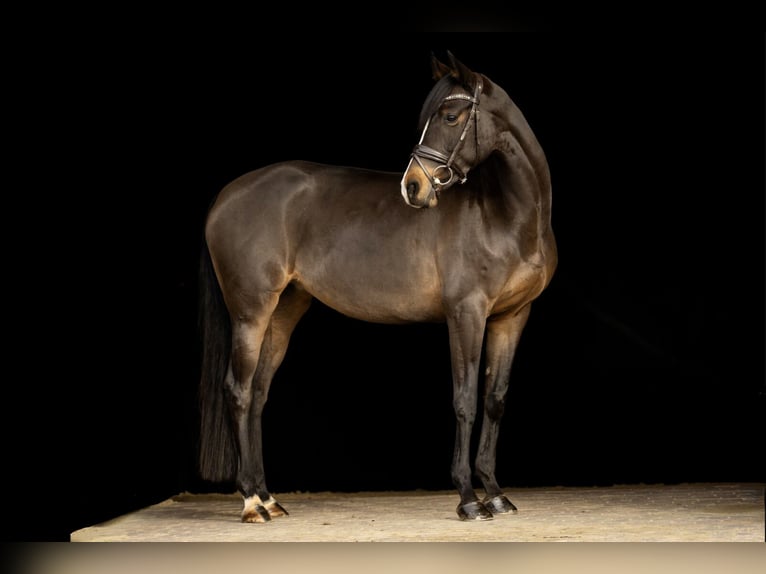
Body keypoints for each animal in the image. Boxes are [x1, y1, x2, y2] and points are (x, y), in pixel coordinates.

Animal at [197, 51, 557, 522]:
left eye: (450, 115)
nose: (413, 186)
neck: (506, 216)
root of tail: (225, 196)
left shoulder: (512, 316)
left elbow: (494, 399)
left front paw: (496, 494)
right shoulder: (466, 312)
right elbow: (464, 400)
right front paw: (468, 499)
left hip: (283, 310)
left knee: (258, 394)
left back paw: (268, 496)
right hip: (250, 312)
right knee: (237, 393)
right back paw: (251, 502)